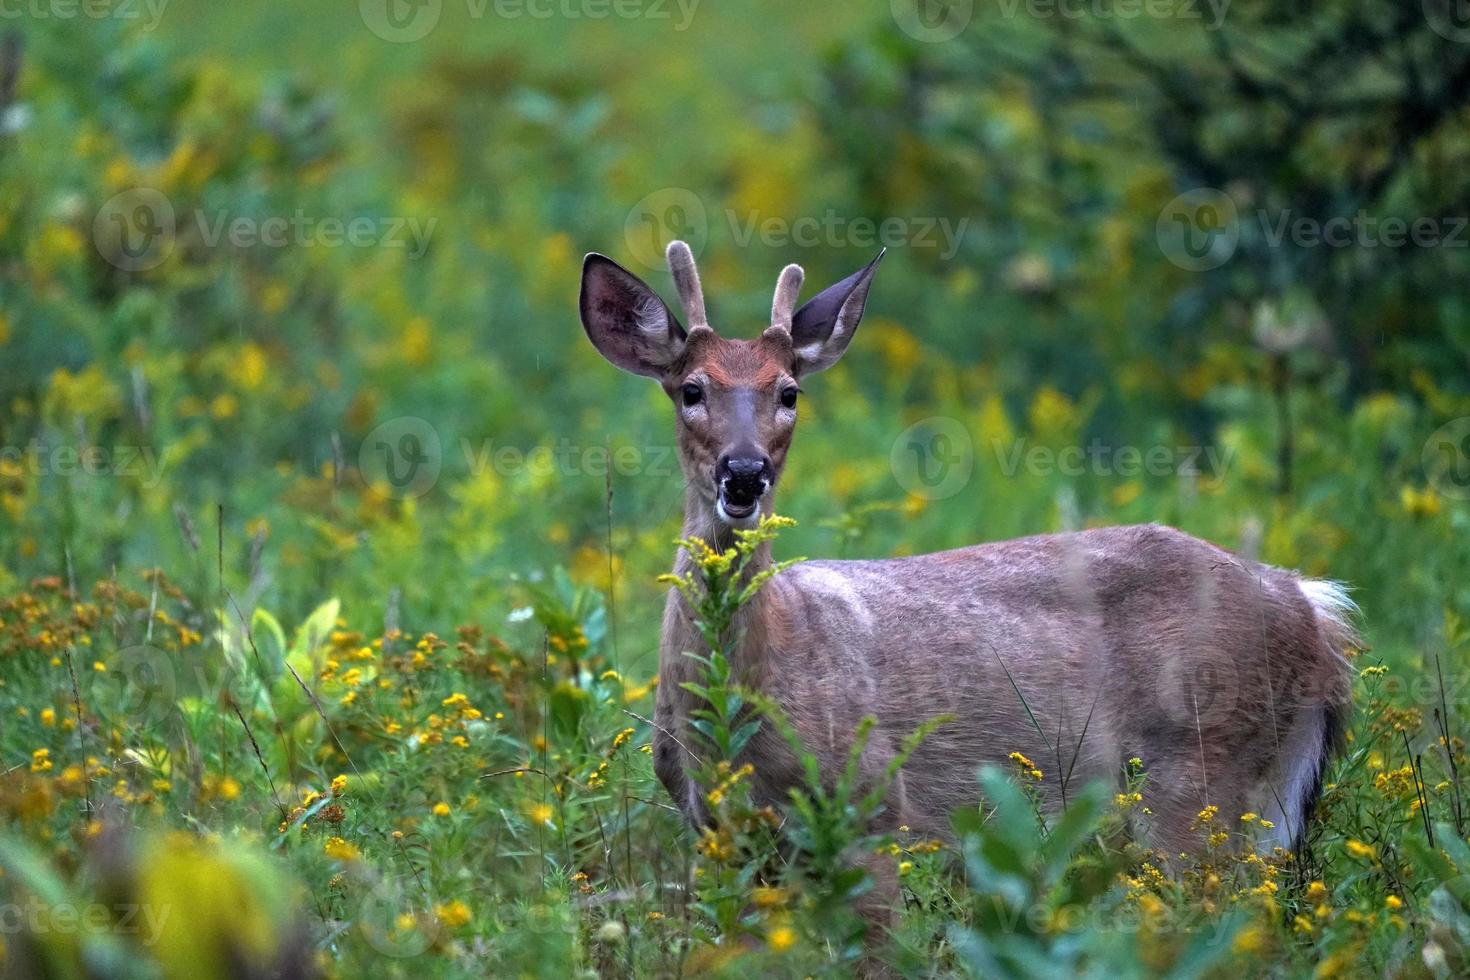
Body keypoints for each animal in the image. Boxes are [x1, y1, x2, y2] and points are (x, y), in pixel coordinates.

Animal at [573, 233, 1352, 893]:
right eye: (691, 389)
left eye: (788, 393)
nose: (744, 473)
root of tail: (1312, 606)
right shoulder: (720, 836)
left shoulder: (875, 805)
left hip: (1203, 772)